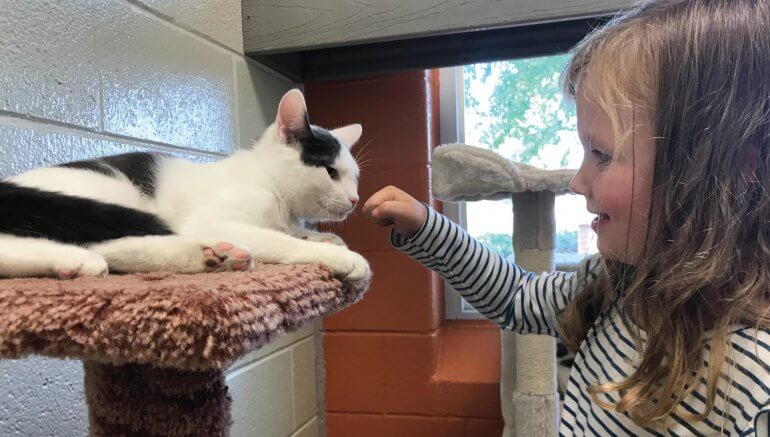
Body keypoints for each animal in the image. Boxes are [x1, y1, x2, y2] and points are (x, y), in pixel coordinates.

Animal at [0, 89, 370, 281]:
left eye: (354, 177)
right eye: (330, 172)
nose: (354, 200)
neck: (271, 186)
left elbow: (293, 232)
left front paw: (323, 237)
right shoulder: (216, 218)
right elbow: (283, 241)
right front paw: (334, 253)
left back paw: (216, 256)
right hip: (111, 194)